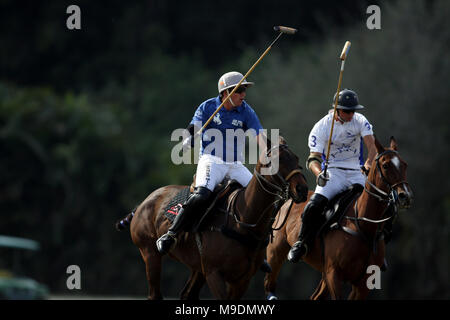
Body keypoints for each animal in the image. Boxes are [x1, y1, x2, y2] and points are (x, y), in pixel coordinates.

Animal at [116, 138, 308, 300]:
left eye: (296, 158)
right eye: (278, 159)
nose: (302, 189)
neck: (242, 220)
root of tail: (144, 202)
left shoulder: (242, 279)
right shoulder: (214, 273)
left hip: (197, 267)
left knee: (188, 295)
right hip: (150, 253)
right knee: (155, 294)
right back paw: (165, 240)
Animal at [264, 137, 414, 300]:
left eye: (404, 164)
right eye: (386, 165)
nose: (405, 196)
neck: (363, 226)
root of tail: (289, 198)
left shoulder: (363, 284)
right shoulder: (334, 274)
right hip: (275, 253)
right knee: (269, 283)